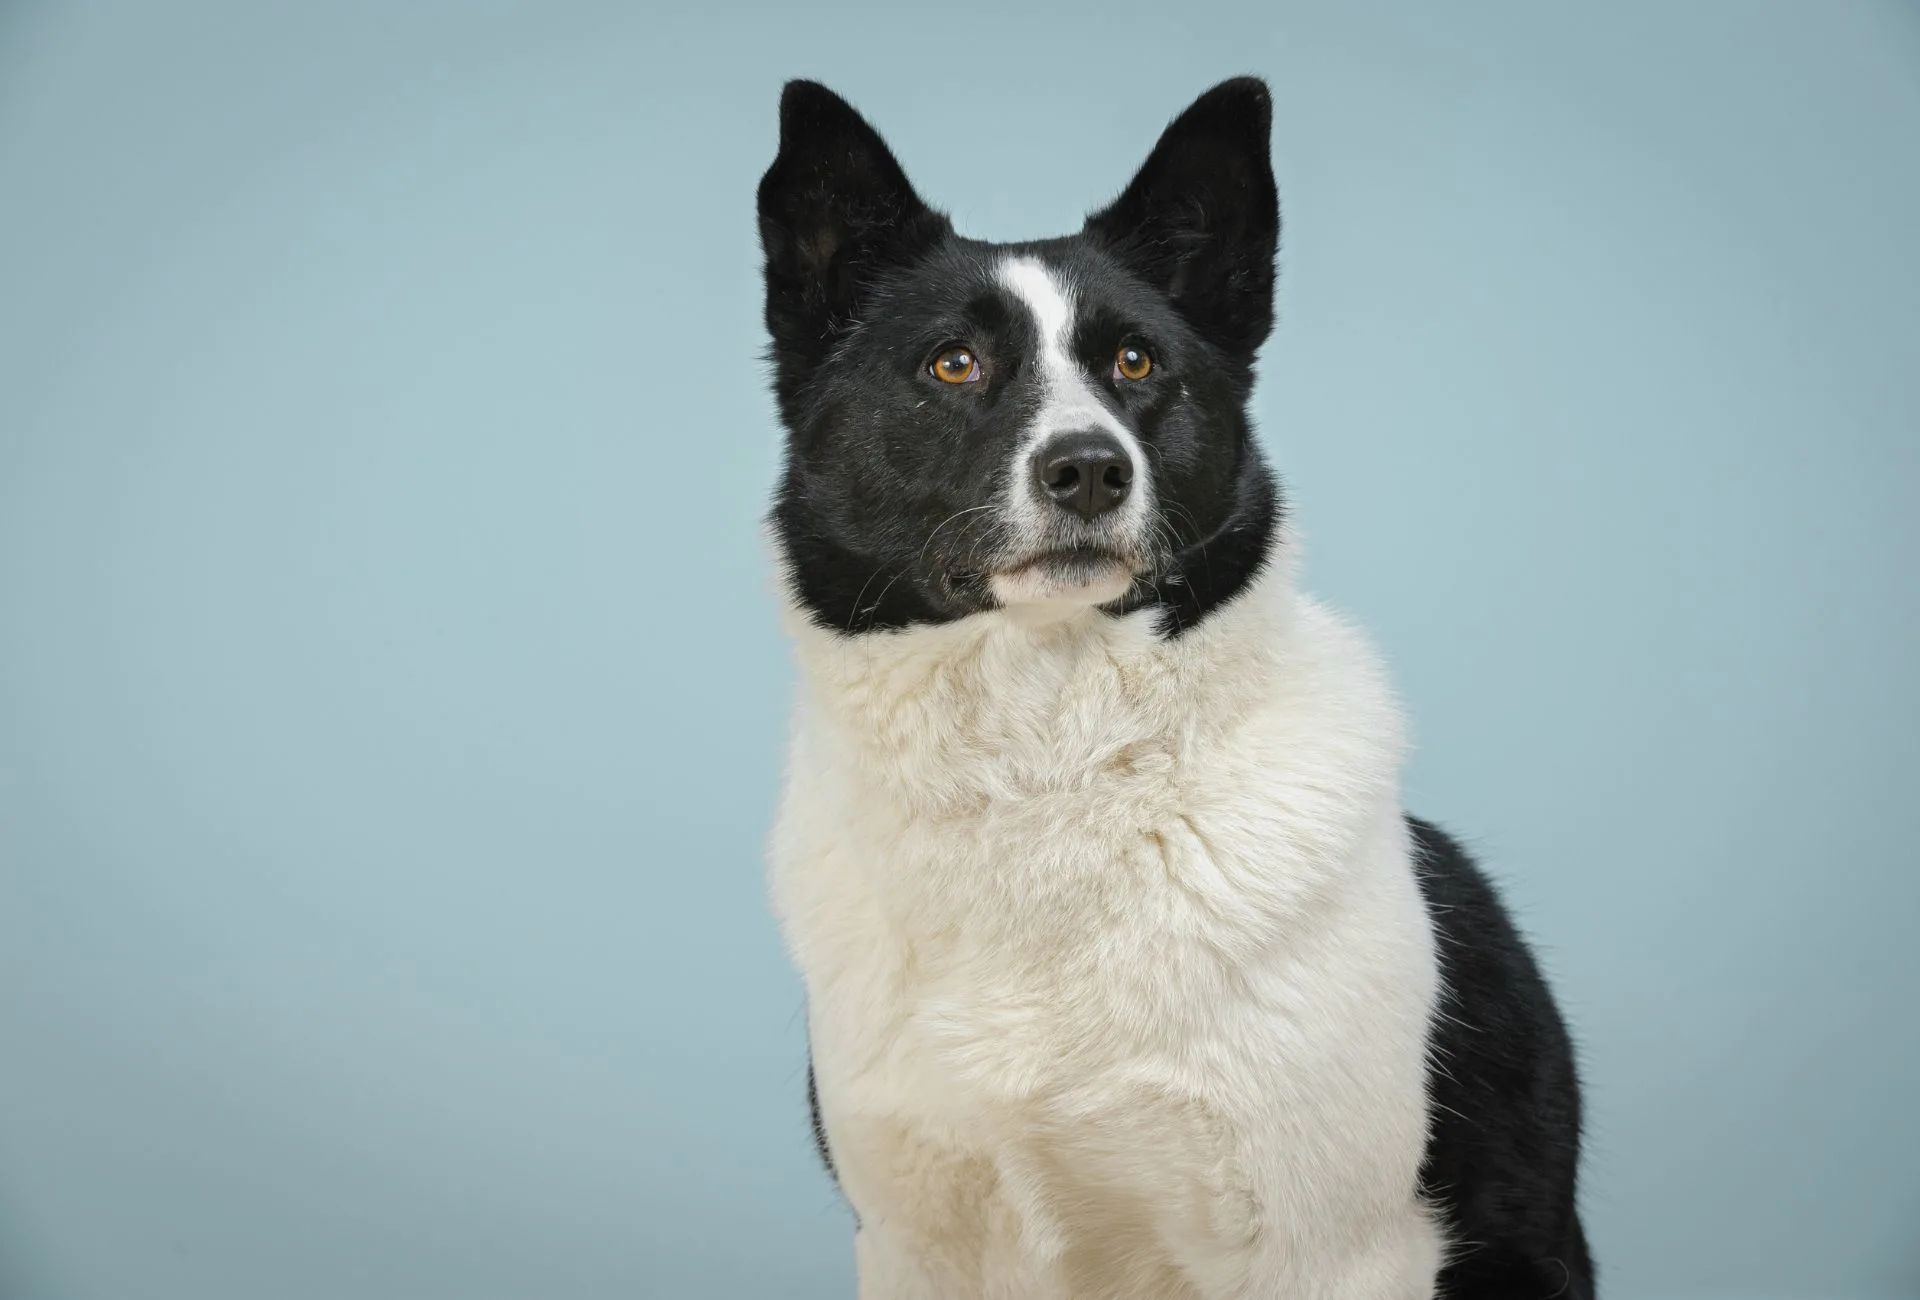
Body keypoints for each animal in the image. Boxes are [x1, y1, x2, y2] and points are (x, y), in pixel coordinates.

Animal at [756, 75, 1597, 1290]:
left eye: (1138, 363)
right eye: (952, 364)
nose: (1090, 470)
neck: (1050, 770)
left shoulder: (1331, 1252)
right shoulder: (915, 1243)